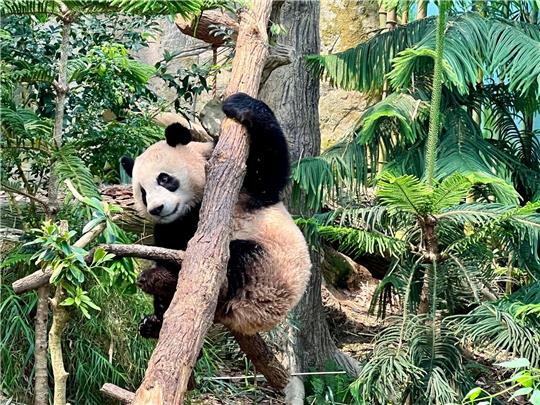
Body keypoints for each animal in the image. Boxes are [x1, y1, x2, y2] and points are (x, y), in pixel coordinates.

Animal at [120, 92, 310, 338]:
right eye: (143, 193)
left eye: (164, 179)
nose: (157, 209)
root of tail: (248, 320)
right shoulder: (178, 223)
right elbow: (168, 235)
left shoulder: (245, 188)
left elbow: (270, 170)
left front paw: (239, 104)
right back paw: (154, 317)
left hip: (270, 275)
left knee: (239, 257)